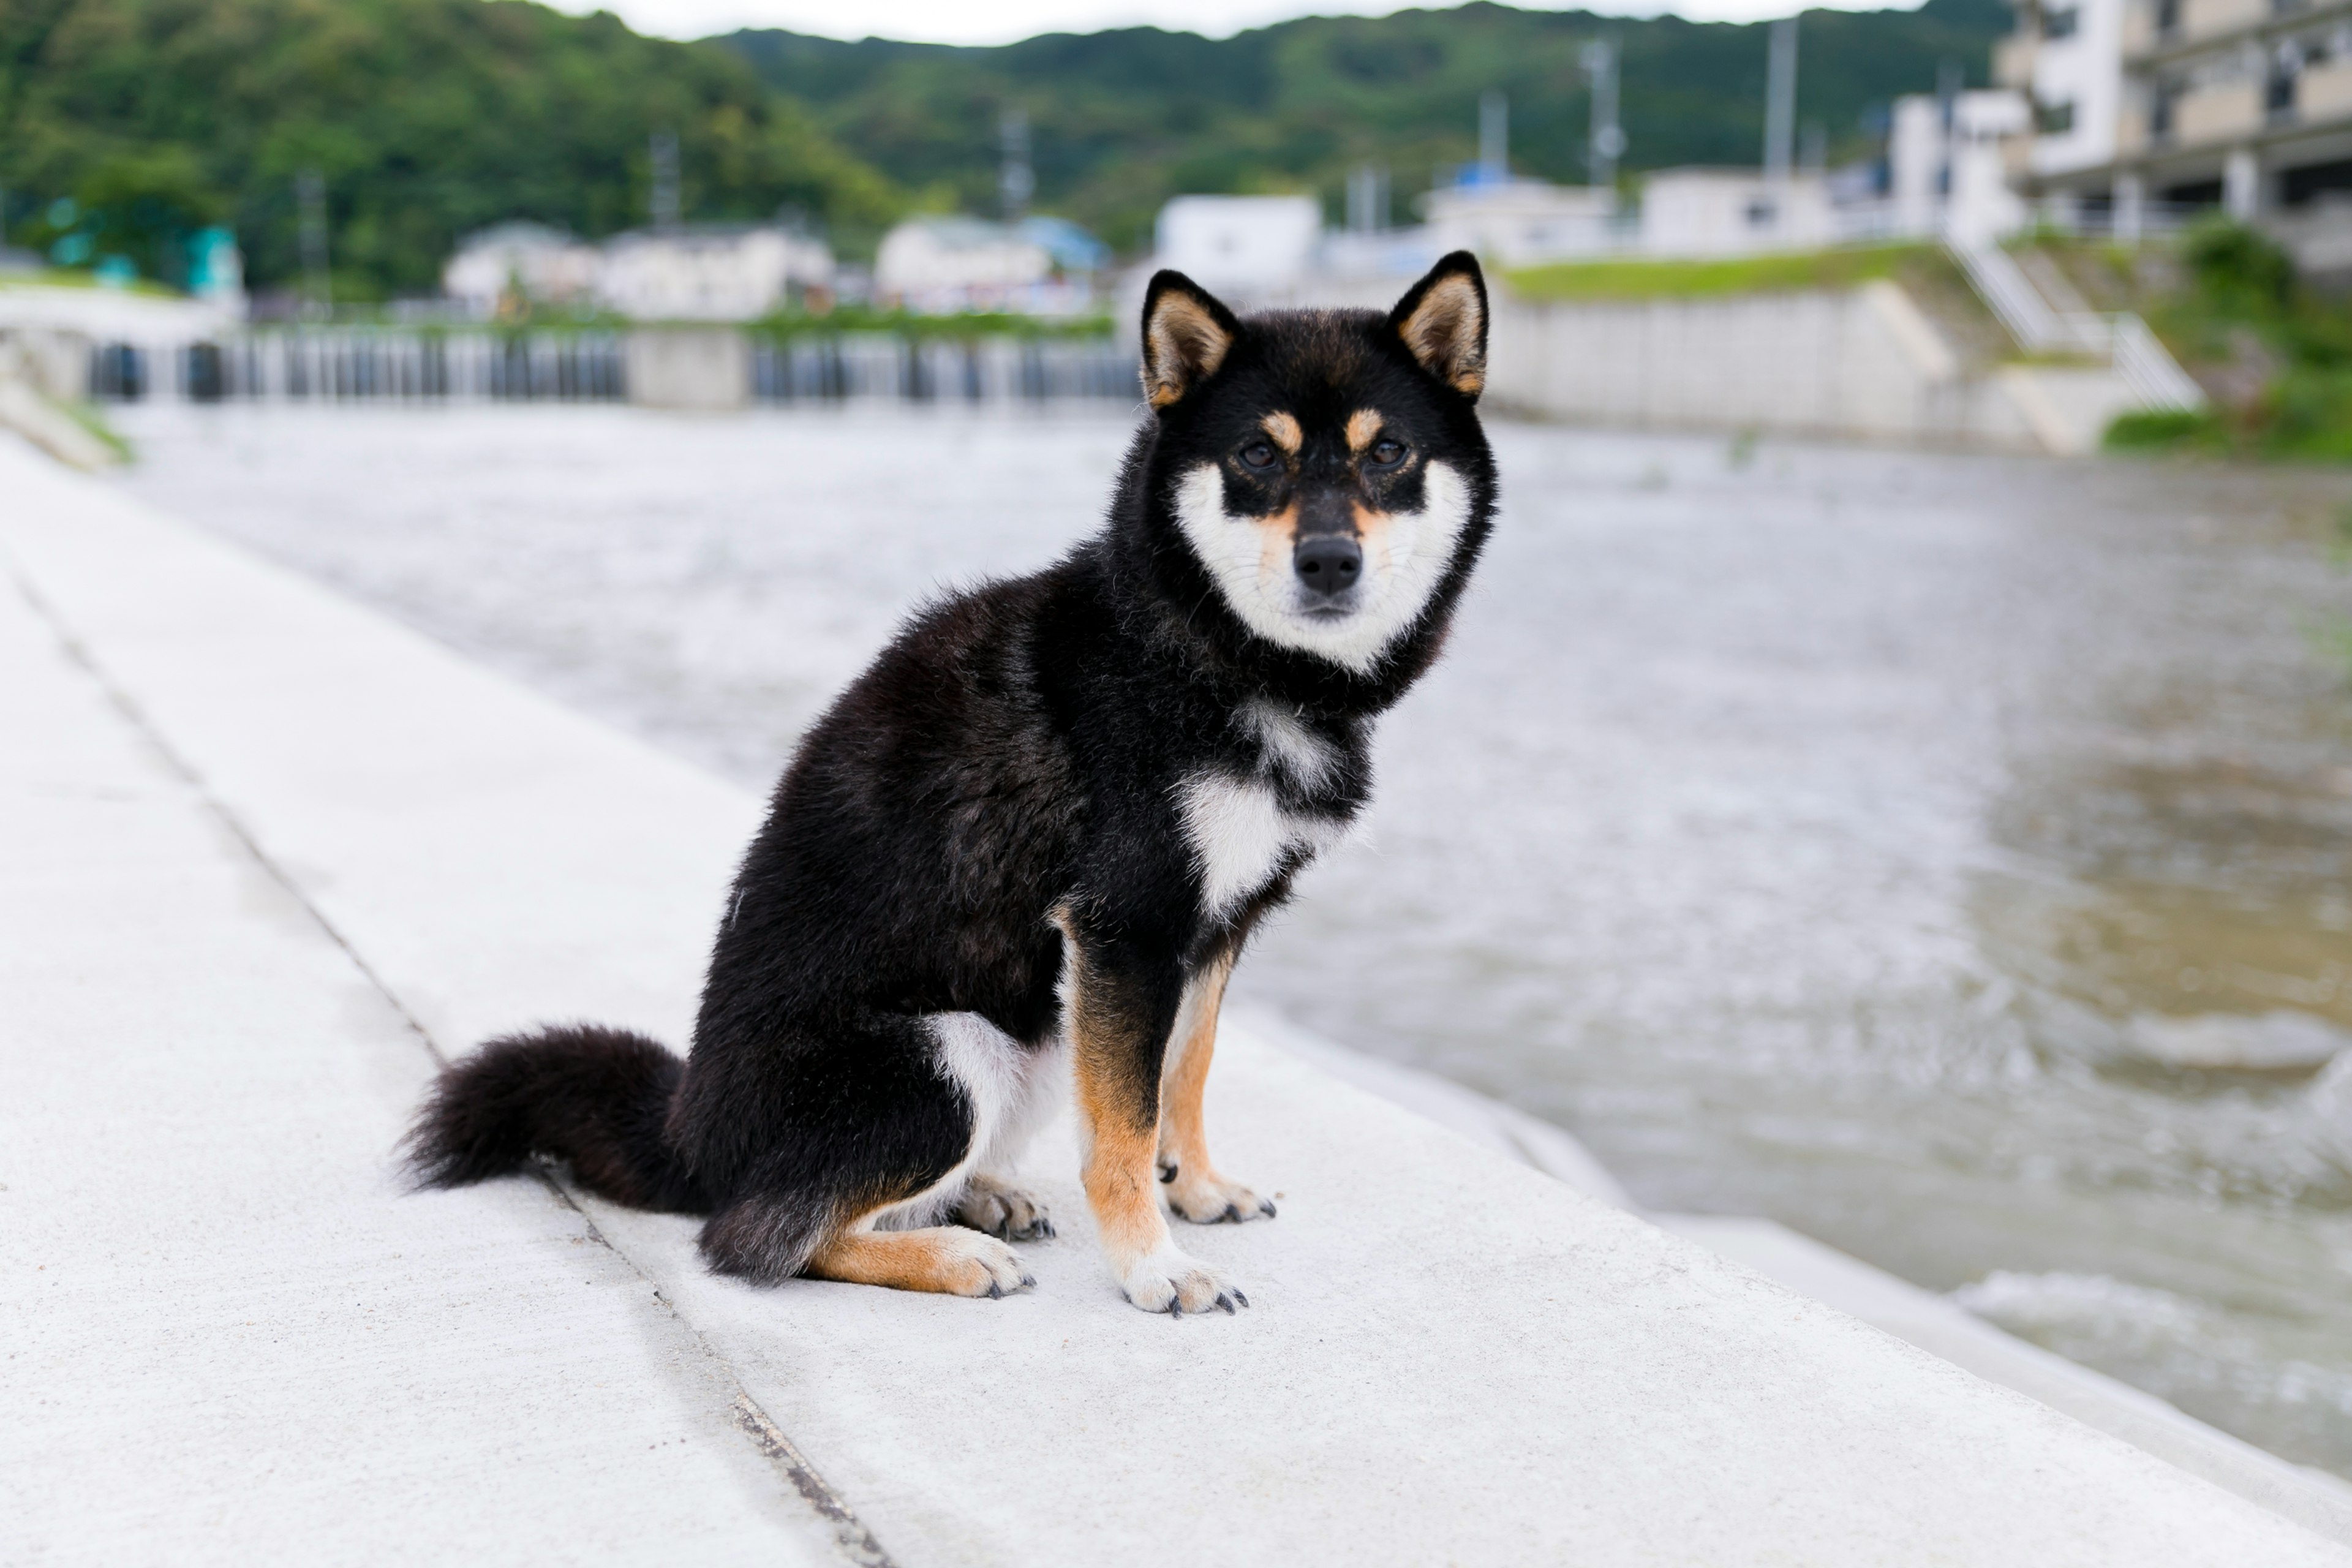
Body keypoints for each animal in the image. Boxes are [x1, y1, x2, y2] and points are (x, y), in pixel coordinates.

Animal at [412, 255, 1496, 1316]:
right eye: (1258, 457)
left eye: (1389, 452)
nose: (1329, 560)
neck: (1205, 651)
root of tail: (689, 1138)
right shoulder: (1126, 926)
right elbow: (1123, 1129)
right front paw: (1153, 1265)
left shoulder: (1216, 925)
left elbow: (1182, 1076)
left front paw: (1196, 1188)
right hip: (948, 1050)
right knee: (760, 1238)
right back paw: (951, 1255)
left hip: (1033, 1043)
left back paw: (983, 1200)